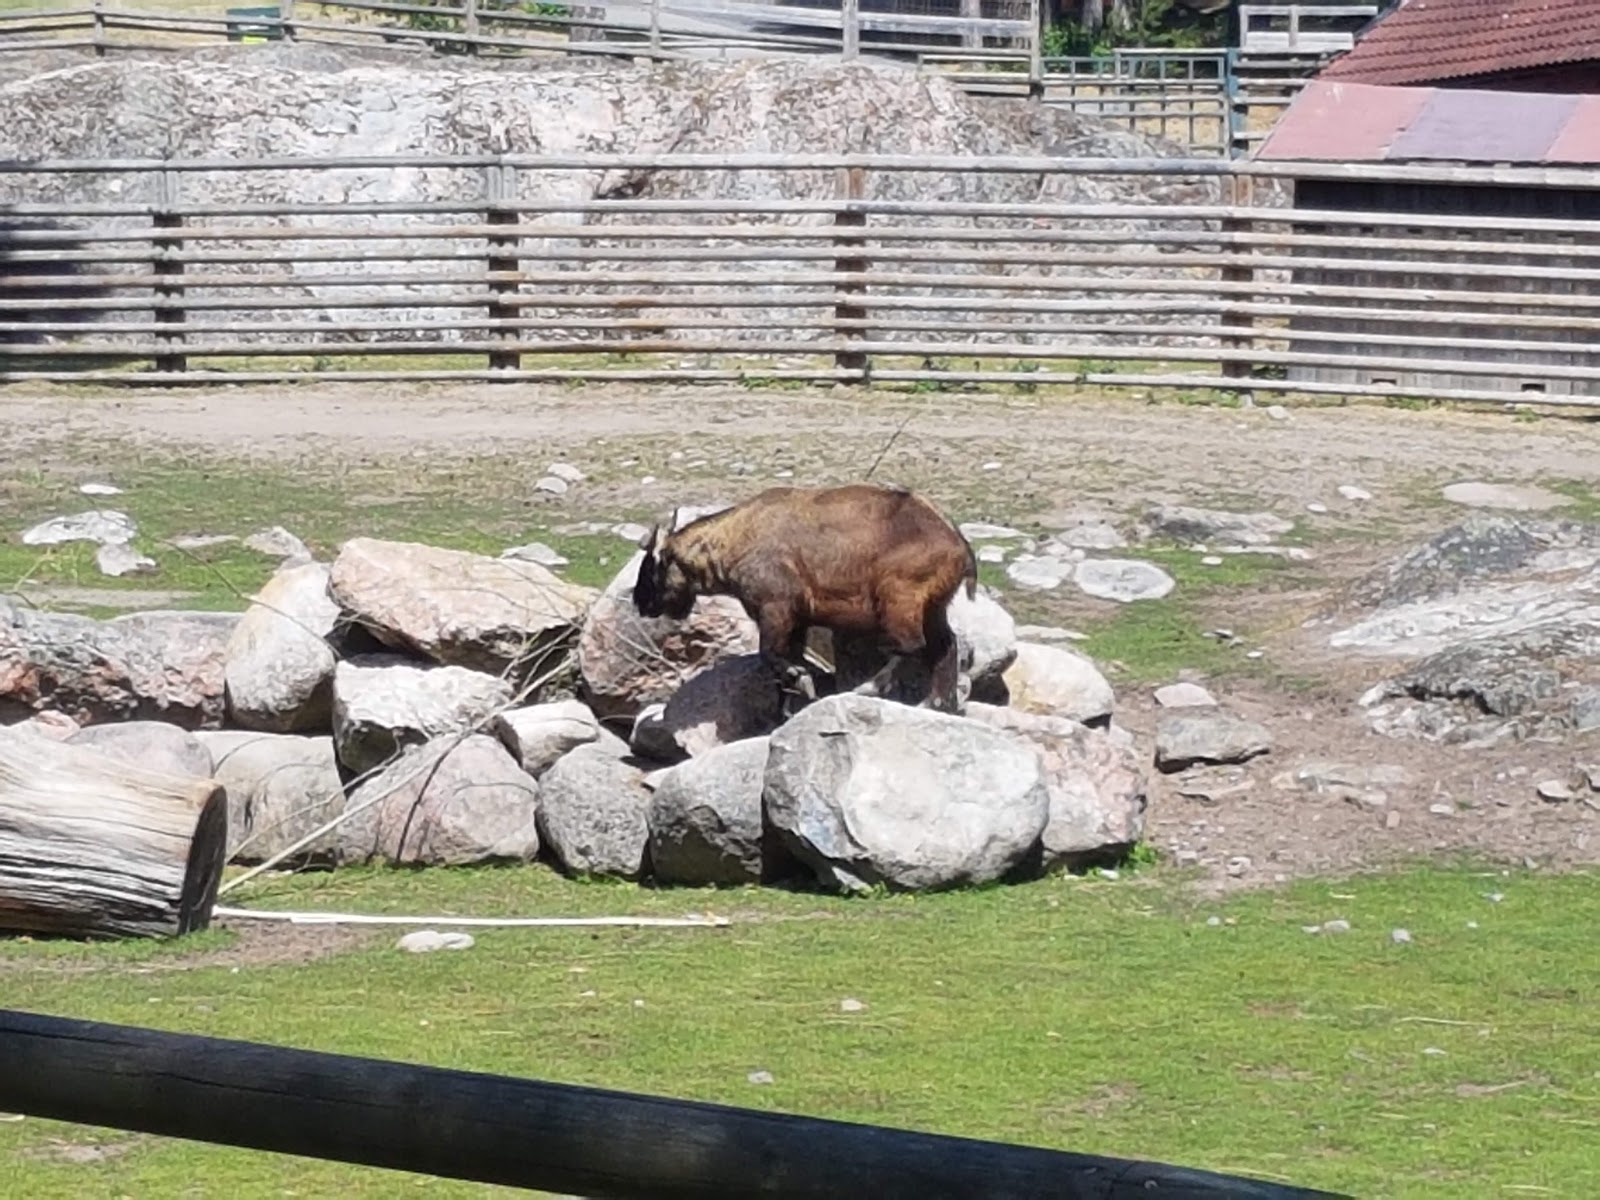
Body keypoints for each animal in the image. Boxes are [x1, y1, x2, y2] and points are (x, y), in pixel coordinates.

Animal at [632, 483, 977, 713]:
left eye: (652, 564)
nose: (639, 601)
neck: (739, 536)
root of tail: (956, 540)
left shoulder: (775, 609)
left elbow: (771, 656)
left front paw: (800, 680)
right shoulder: (798, 620)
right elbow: (781, 662)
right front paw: (787, 707)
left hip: (898, 600)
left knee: (910, 645)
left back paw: (871, 687)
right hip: (934, 607)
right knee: (944, 646)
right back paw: (935, 701)